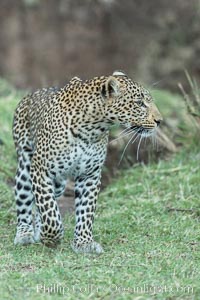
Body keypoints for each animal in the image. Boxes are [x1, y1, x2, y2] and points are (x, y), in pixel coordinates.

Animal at [12, 70, 162, 253]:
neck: (92, 128)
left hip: (59, 182)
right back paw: (24, 233)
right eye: (139, 103)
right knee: (24, 199)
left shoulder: (89, 175)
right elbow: (48, 208)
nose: (159, 121)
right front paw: (51, 237)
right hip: (26, 165)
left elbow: (85, 210)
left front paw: (84, 243)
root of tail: (31, 94)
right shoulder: (41, 169)